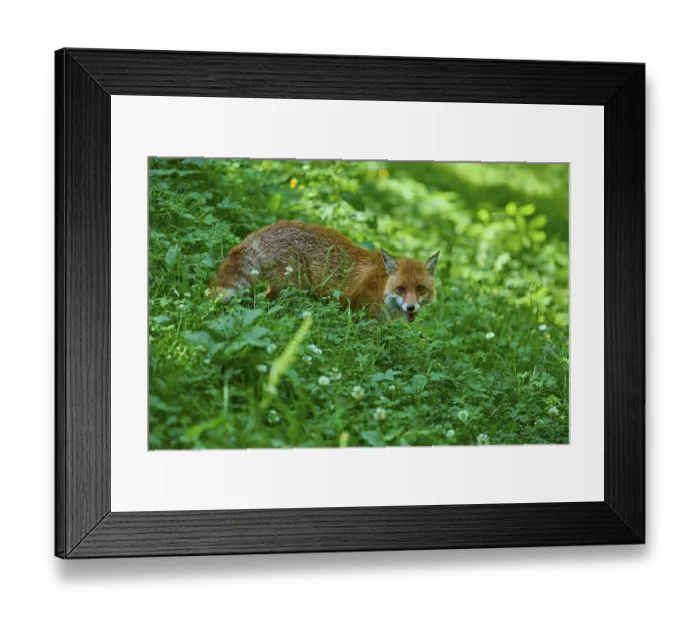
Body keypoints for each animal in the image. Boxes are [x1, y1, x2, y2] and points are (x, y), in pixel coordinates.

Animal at [209, 220, 439, 323]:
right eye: (401, 289)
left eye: (420, 289)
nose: (411, 307)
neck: (382, 286)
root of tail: (264, 230)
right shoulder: (366, 319)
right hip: (293, 289)